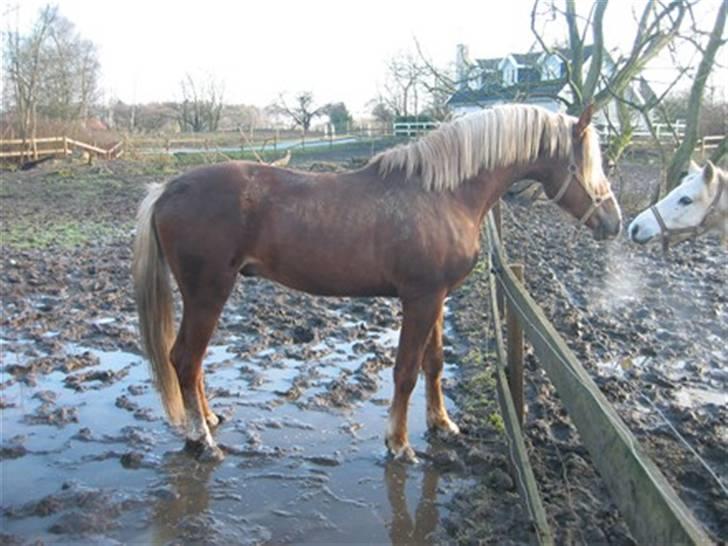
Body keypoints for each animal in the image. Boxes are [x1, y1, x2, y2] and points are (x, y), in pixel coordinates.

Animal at [131, 102, 620, 460]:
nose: (614, 222)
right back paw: (202, 440)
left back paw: (210, 421)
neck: (445, 195)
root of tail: (167, 189)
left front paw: (442, 423)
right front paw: (399, 444)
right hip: (207, 294)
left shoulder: (437, 298)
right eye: (585, 165)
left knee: (192, 365)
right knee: (185, 360)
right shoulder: (419, 299)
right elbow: (404, 371)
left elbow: (433, 363)